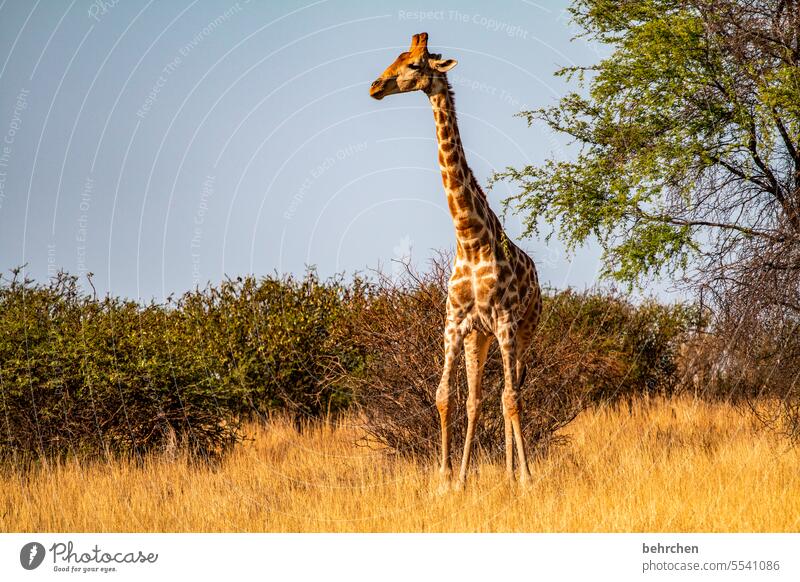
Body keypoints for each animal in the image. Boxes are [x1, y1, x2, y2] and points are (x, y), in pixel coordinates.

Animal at [370, 32, 544, 488]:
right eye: (396, 57)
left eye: (414, 65)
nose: (375, 86)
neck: (469, 239)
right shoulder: (455, 323)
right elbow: (446, 397)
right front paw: (447, 480)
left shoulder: (504, 321)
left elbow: (511, 399)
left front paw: (526, 480)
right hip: (478, 339)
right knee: (480, 398)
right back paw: (487, 473)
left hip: (522, 333)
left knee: (513, 392)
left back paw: (515, 474)